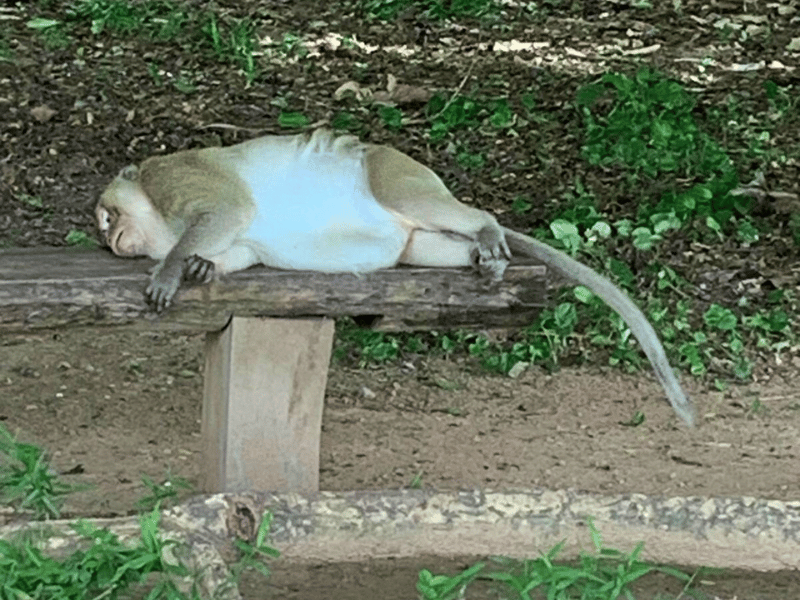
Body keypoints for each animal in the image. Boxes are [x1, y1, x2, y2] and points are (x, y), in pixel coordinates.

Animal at [96, 129, 695, 426]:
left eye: (107, 215)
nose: (107, 238)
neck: (158, 217)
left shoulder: (172, 176)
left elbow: (227, 209)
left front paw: (172, 270)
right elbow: (238, 243)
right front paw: (202, 265)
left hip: (394, 173)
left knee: (420, 200)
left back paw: (485, 226)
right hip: (415, 240)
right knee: (429, 244)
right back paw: (481, 255)